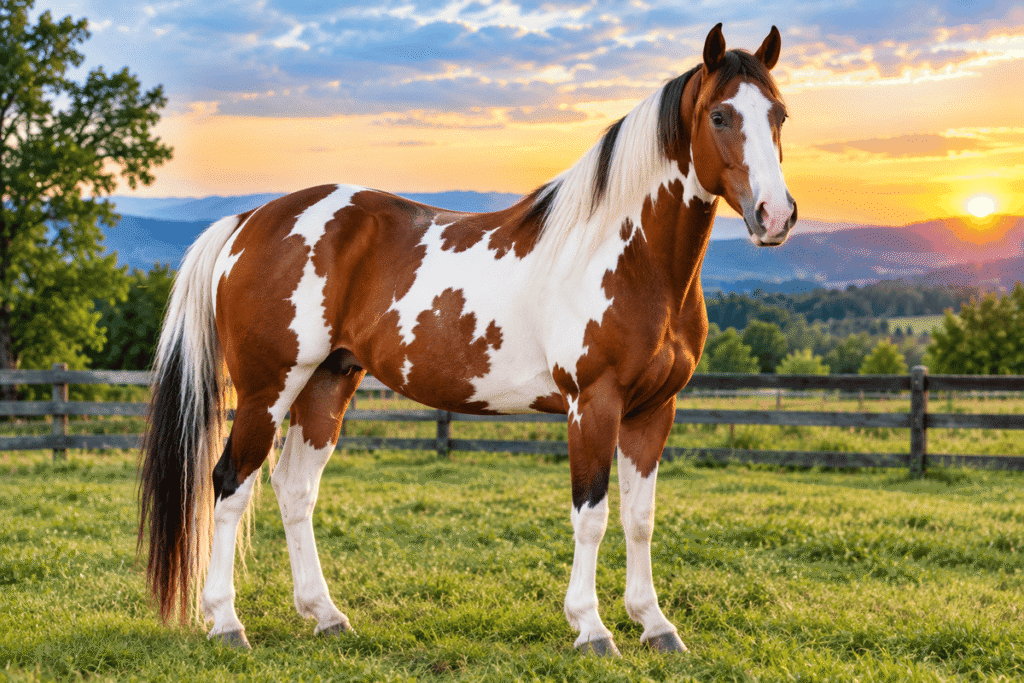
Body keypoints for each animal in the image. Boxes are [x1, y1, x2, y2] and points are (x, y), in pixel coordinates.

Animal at [139, 23, 796, 655]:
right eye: (720, 116)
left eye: (780, 114)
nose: (775, 215)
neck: (625, 255)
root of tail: (249, 221)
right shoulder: (593, 405)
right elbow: (592, 516)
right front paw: (592, 629)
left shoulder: (654, 410)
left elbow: (641, 519)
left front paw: (655, 625)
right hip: (266, 389)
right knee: (230, 484)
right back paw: (226, 623)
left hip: (327, 383)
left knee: (294, 489)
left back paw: (326, 617)